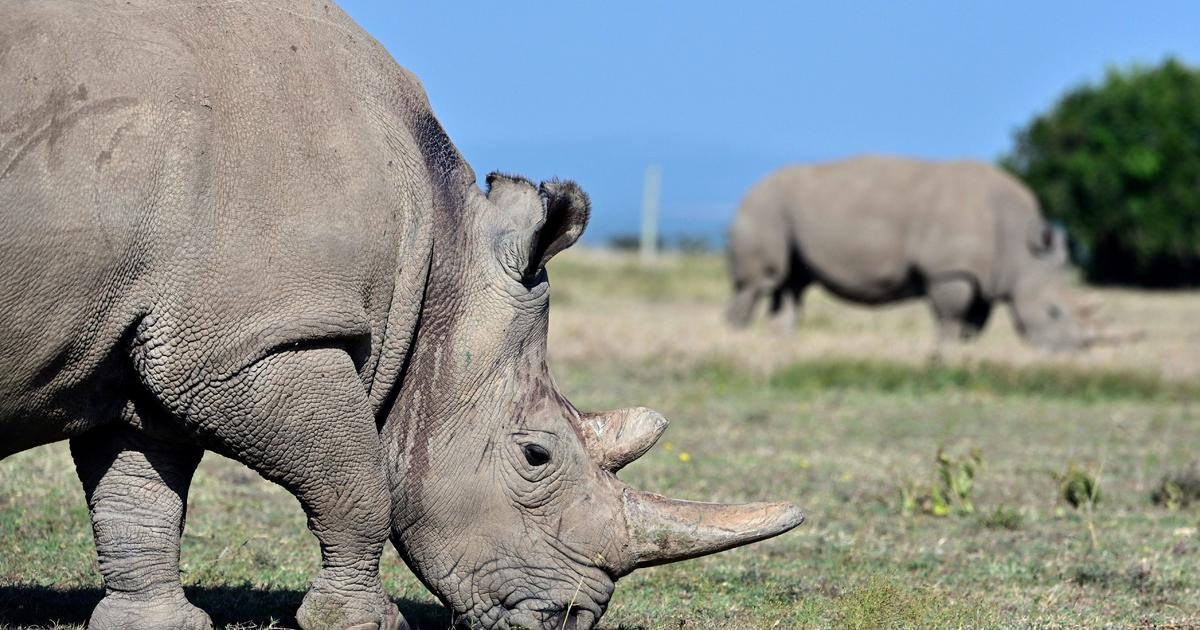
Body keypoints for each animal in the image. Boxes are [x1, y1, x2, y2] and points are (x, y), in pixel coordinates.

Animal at [0, 2, 804, 629]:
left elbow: (140, 492)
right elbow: (359, 480)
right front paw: (364, 622)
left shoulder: (154, 340)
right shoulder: (248, 342)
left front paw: (156, 623)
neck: (439, 258)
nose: (572, 617)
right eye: (535, 456)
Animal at [726, 156, 1111, 351]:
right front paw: (942, 357)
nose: (1071, 352)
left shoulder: (984, 277)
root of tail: (750, 188)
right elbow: (951, 318)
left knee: (792, 285)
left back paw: (783, 346)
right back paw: (736, 341)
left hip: (782, 210)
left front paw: (962, 357)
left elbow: (973, 324)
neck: (1021, 249)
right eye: (1054, 311)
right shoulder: (950, 271)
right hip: (763, 207)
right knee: (759, 282)